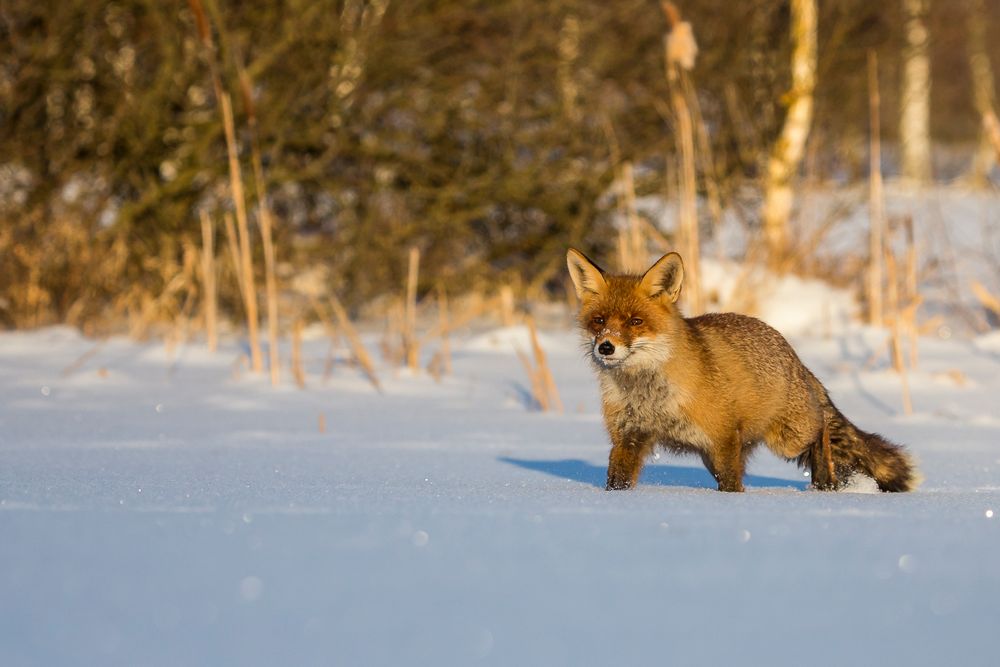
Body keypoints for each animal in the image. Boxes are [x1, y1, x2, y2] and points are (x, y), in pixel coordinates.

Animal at [572, 248, 920, 494]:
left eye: (635, 321)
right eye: (599, 321)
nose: (606, 348)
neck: (649, 395)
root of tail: (793, 355)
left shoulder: (724, 437)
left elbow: (731, 486)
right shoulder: (628, 437)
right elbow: (616, 482)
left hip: (788, 438)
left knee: (821, 429)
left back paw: (823, 480)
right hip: (714, 454)